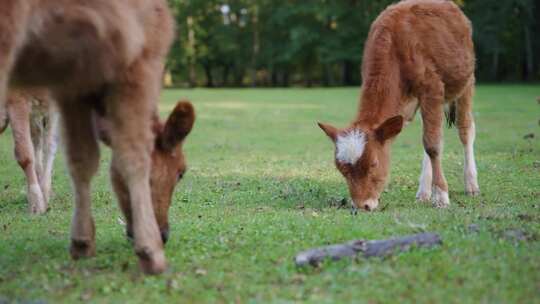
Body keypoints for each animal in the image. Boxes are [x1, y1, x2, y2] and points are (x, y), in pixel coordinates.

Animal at [318, 0, 478, 211]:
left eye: (373, 164)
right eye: (341, 169)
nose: (362, 205)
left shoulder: (432, 87)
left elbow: (433, 144)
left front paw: (442, 196)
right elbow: (429, 141)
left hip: (466, 81)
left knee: (465, 129)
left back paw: (471, 184)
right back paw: (424, 191)